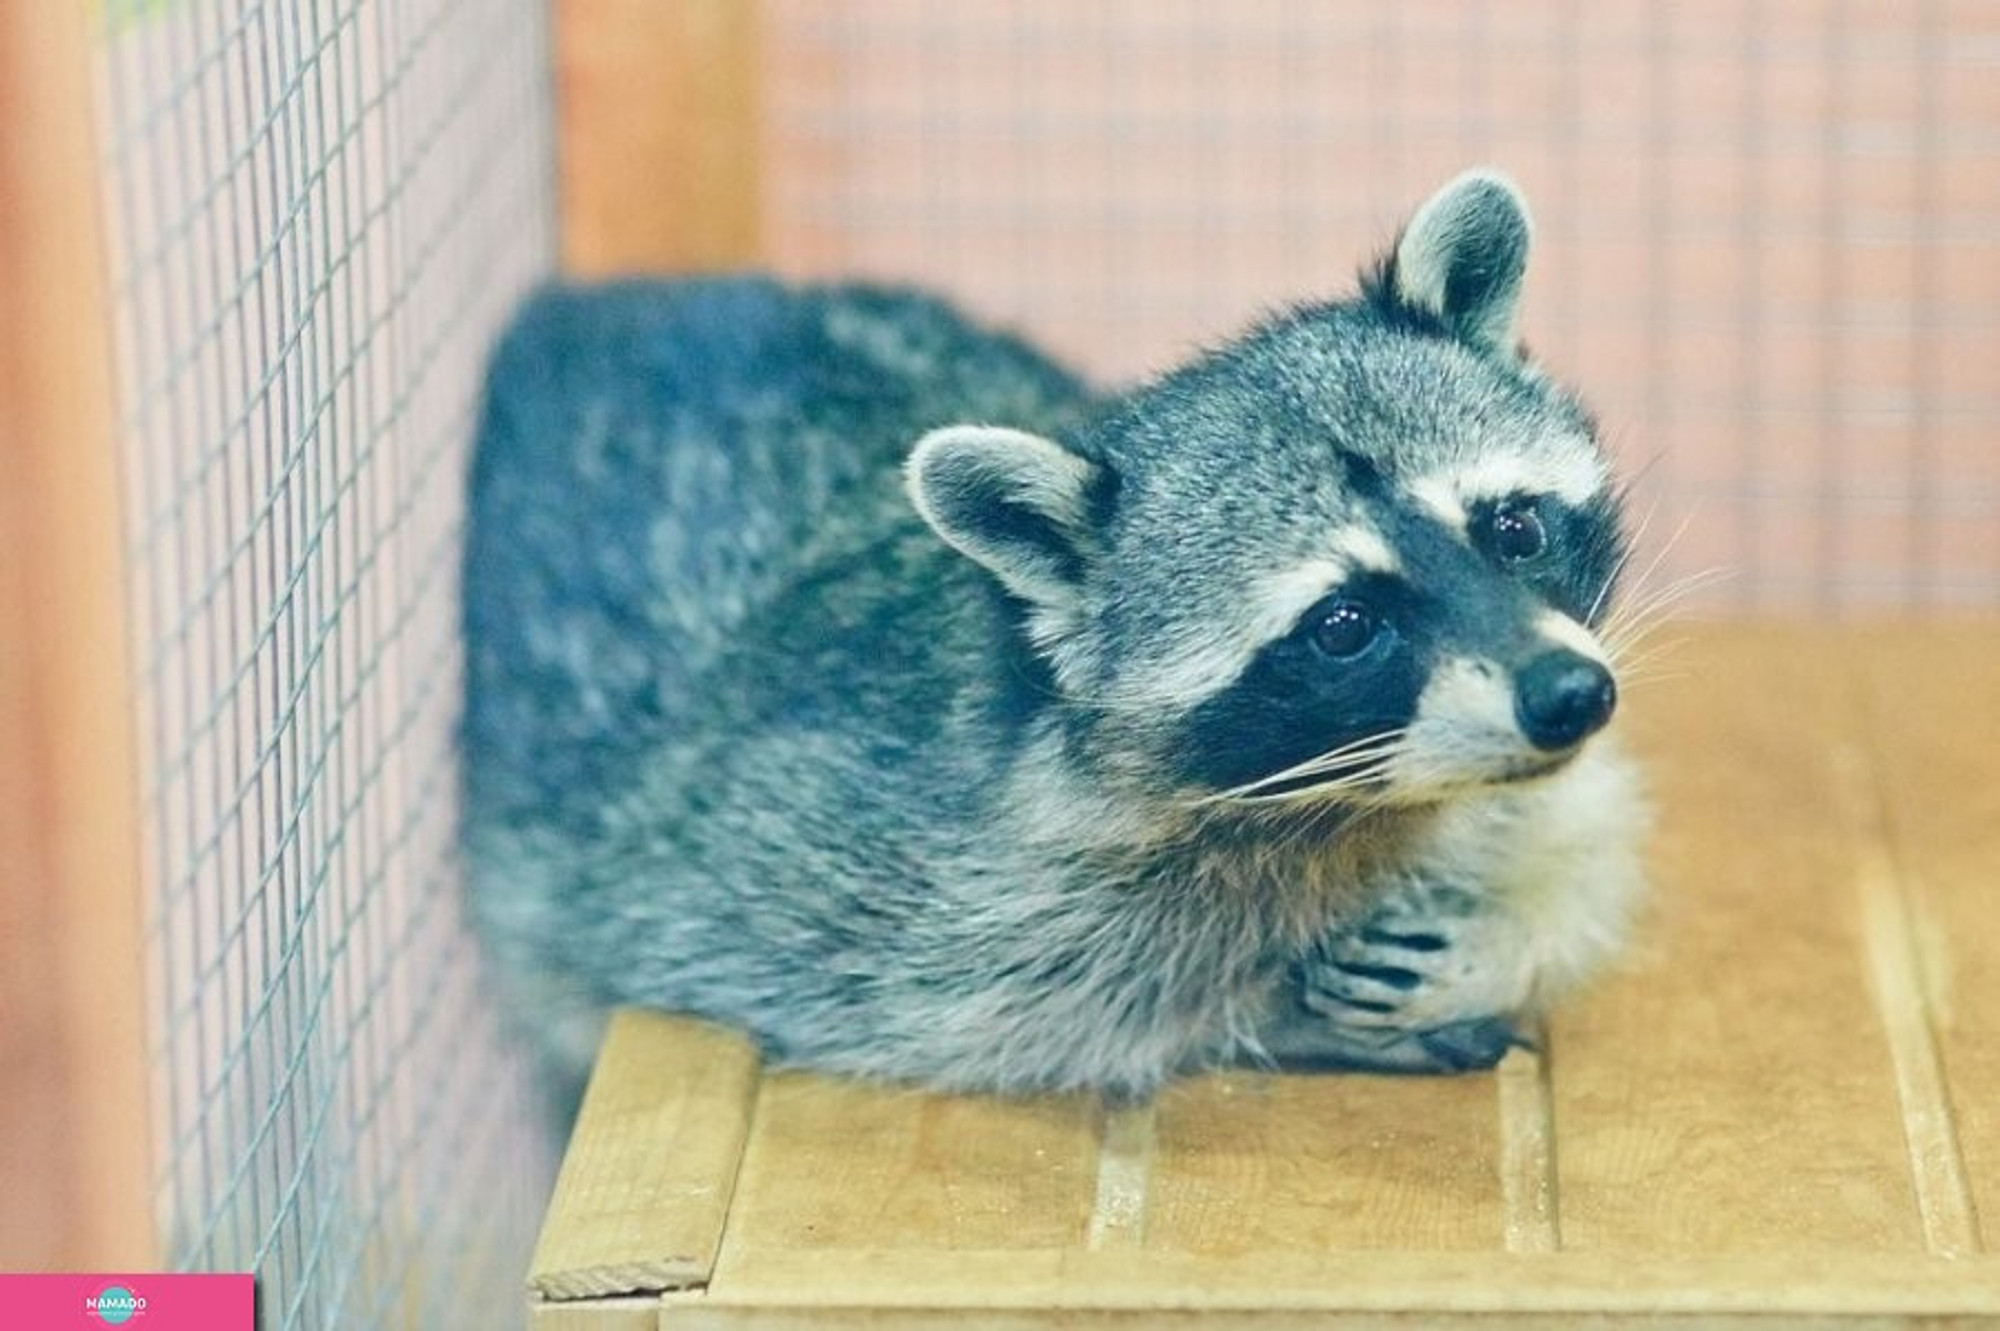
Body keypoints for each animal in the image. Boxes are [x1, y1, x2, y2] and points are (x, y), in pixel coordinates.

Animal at [464, 168, 1640, 1095]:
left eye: (1513, 526)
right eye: (1343, 624)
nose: (1566, 696)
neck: (1373, 794)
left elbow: (1585, 844)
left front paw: (1511, 931)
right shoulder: (812, 856)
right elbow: (974, 1002)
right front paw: (1264, 1006)